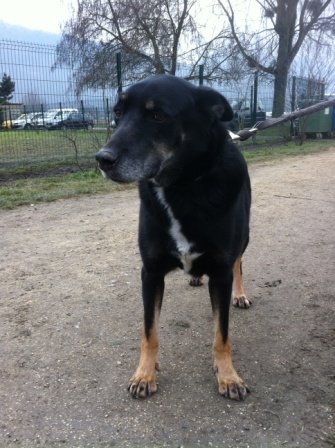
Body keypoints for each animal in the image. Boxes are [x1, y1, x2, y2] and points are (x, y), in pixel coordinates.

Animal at [96, 75, 251, 400]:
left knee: (239, 263)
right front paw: (144, 374)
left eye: (158, 115)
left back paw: (240, 293)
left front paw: (228, 376)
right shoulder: (151, 272)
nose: (102, 159)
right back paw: (195, 277)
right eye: (117, 113)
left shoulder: (221, 272)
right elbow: (149, 333)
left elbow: (221, 335)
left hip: (244, 237)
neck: (181, 187)